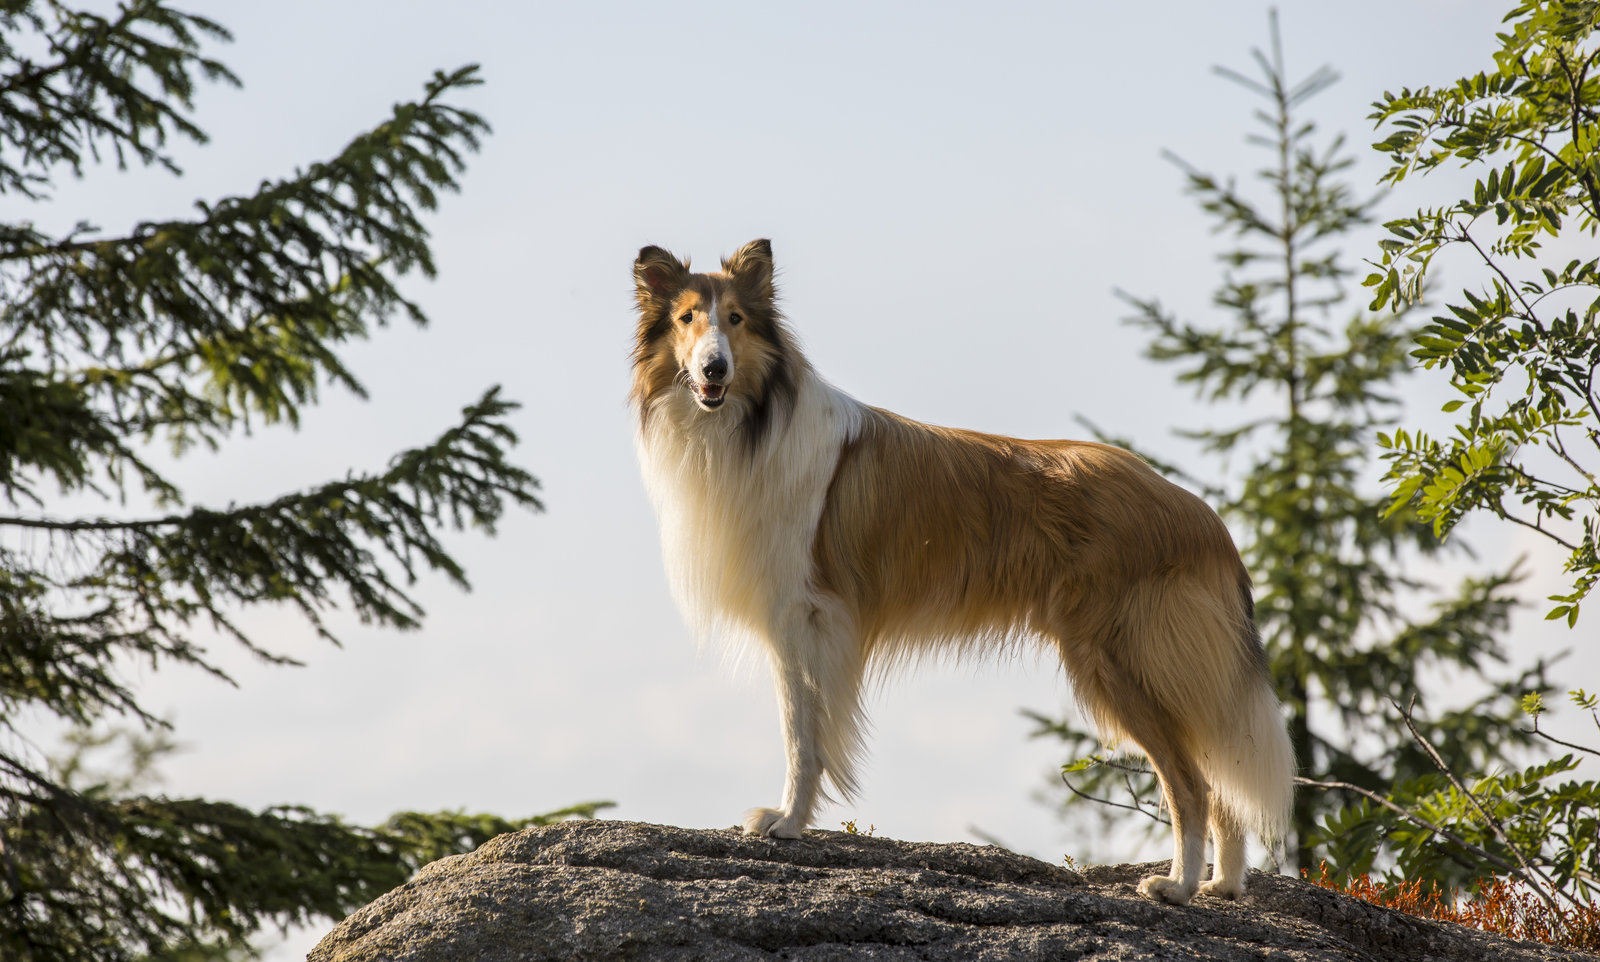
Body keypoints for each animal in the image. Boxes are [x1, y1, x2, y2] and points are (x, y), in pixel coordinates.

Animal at [630, 238, 1292, 902]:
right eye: (687, 318)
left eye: (736, 319)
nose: (714, 370)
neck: (753, 421)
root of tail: (1202, 516)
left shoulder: (804, 616)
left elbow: (802, 734)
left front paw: (786, 823)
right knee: (1221, 779)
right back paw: (1223, 886)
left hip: (1120, 658)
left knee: (1193, 782)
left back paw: (1176, 886)